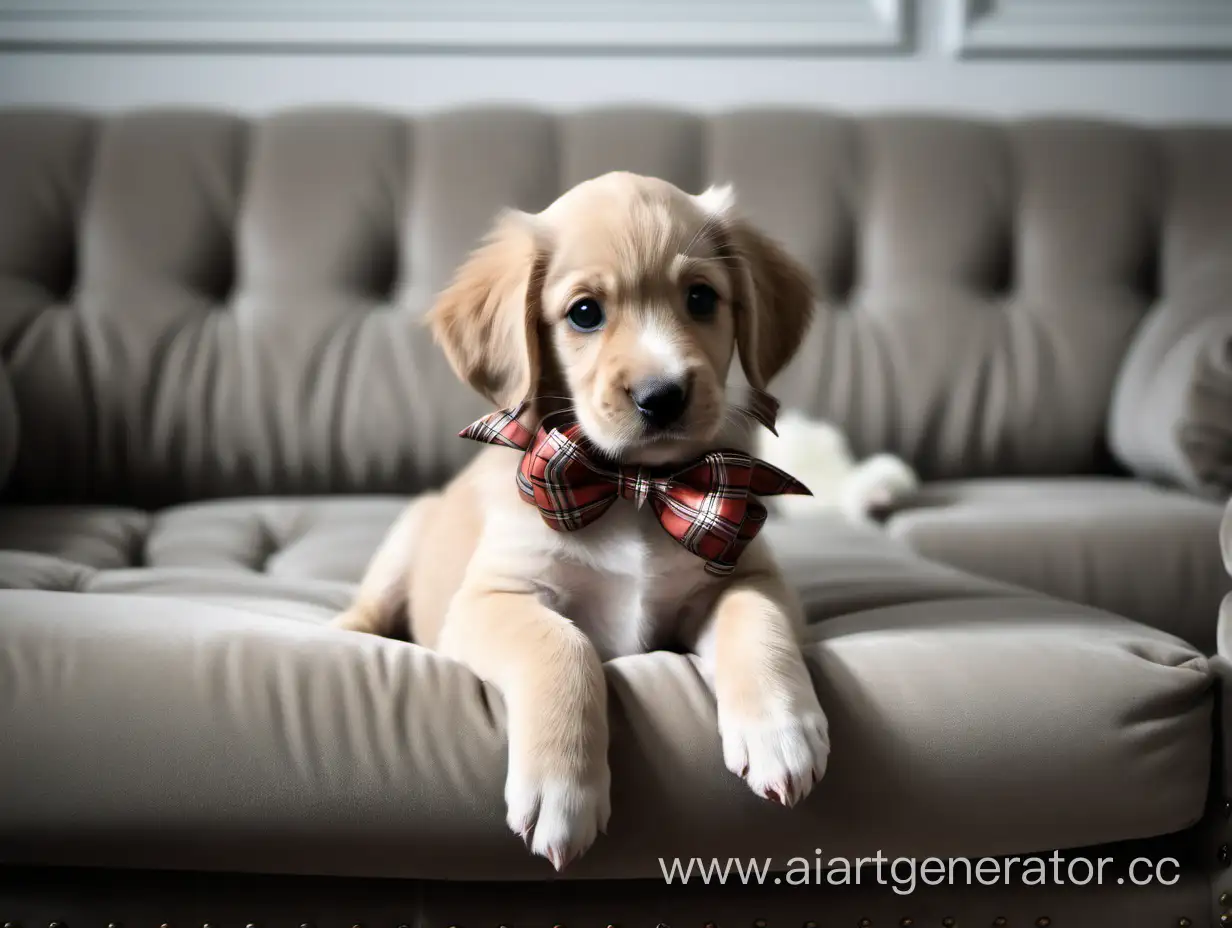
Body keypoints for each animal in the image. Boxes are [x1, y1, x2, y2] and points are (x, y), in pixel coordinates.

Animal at [340, 172, 827, 867]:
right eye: (585, 313)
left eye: (701, 298)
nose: (662, 396)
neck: (636, 489)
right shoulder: (493, 598)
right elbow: (562, 646)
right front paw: (562, 789)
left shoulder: (745, 573)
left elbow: (757, 625)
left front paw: (780, 730)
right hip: (407, 535)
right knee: (367, 606)